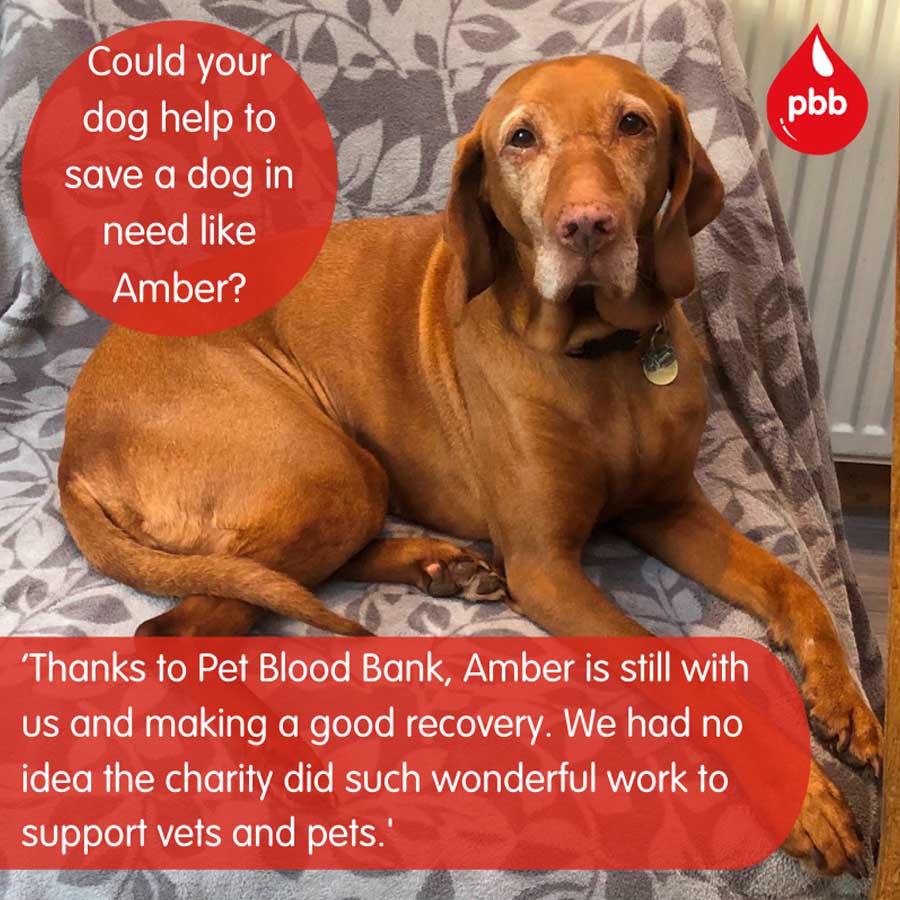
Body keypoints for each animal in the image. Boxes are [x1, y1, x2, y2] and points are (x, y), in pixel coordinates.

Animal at [61, 54, 880, 872]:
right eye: (521, 138)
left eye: (633, 123)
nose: (588, 226)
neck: (601, 355)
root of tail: (73, 445)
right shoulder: (545, 566)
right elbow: (669, 664)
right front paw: (800, 793)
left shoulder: (669, 510)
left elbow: (795, 584)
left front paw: (844, 697)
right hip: (330, 468)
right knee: (178, 630)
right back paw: (291, 769)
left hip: (348, 478)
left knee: (275, 575)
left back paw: (440, 567)